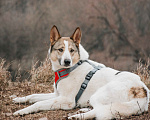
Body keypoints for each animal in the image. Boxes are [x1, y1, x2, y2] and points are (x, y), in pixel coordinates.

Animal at [12, 25, 149, 119]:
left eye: (71, 50)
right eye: (60, 49)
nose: (67, 61)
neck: (72, 67)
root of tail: (142, 92)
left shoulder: (66, 100)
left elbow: (38, 103)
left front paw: (22, 111)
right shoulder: (57, 95)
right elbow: (33, 96)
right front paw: (18, 99)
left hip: (99, 94)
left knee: (101, 111)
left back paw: (77, 116)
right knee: (102, 108)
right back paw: (83, 110)